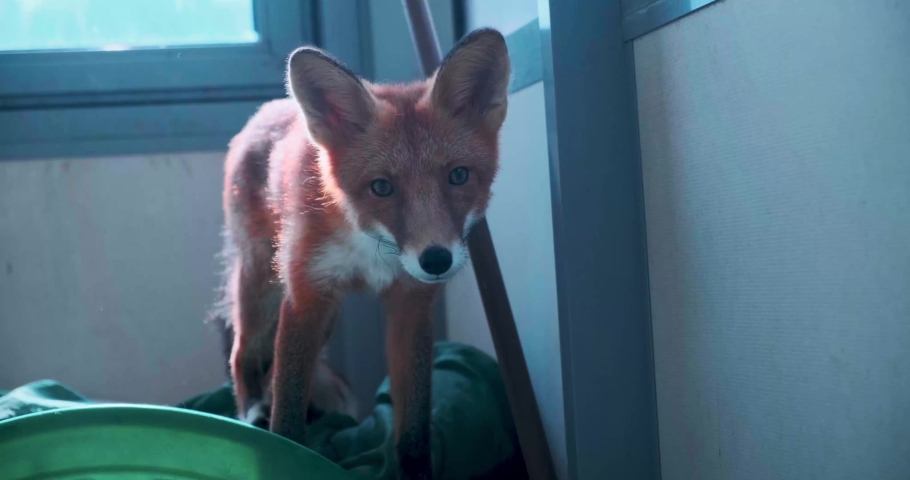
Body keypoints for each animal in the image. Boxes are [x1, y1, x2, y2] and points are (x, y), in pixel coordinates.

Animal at [218, 28, 510, 479]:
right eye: (382, 187)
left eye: (458, 176)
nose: (436, 260)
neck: (370, 244)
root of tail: (268, 108)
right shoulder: (304, 296)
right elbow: (288, 406)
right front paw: (283, 452)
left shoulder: (410, 305)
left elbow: (413, 432)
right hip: (262, 290)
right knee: (244, 356)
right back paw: (251, 413)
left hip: (325, 318)